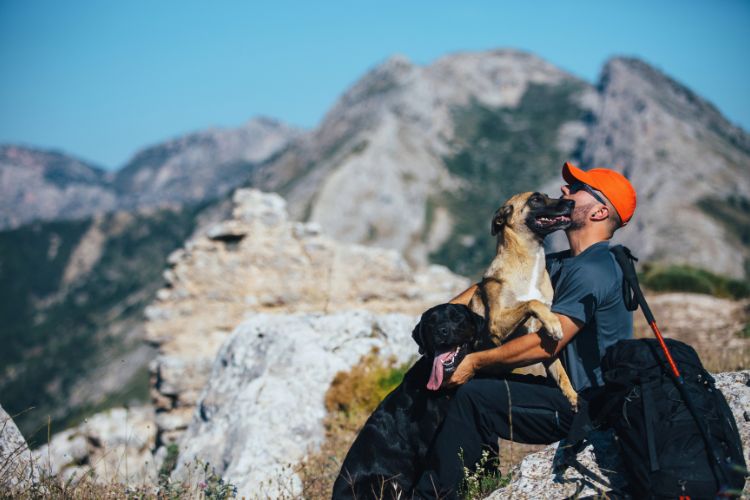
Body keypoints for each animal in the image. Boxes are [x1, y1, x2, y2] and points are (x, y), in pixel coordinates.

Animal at [470, 191, 580, 410]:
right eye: (535, 199)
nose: (572, 202)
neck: (529, 262)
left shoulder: (543, 345)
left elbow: (561, 372)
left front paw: (571, 394)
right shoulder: (496, 323)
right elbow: (531, 302)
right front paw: (554, 323)